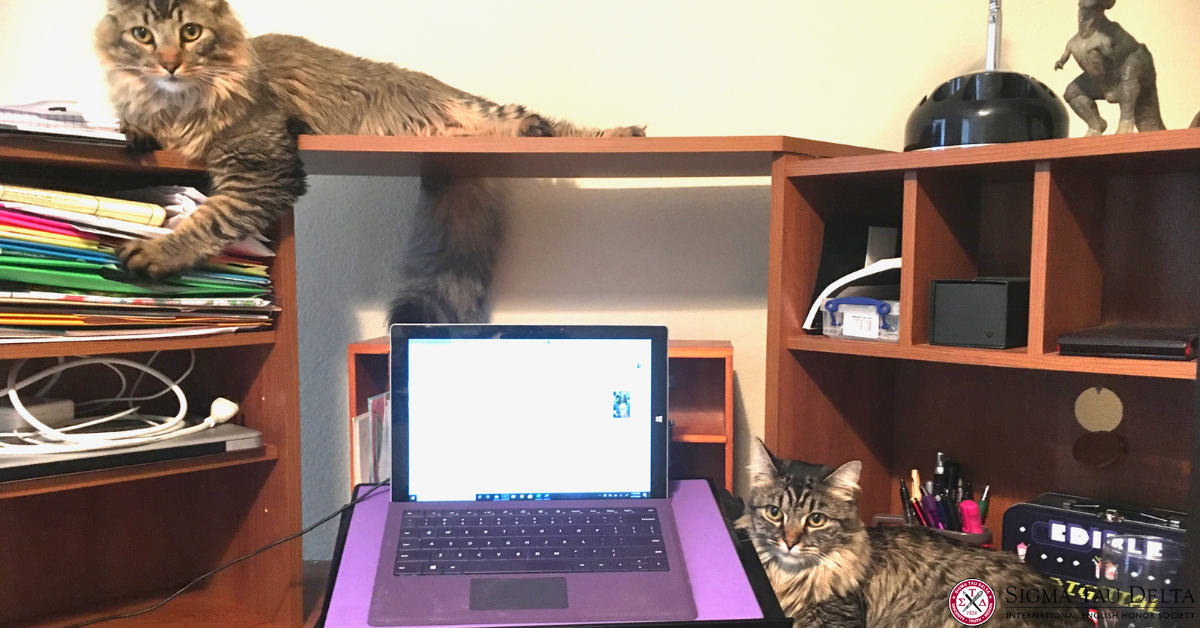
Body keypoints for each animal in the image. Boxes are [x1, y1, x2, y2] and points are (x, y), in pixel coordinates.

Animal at [94, 0, 643, 323]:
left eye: (190, 32)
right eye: (142, 34)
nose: (168, 62)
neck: (178, 104)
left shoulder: (263, 168)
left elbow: (209, 219)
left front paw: (157, 252)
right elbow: (135, 125)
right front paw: (134, 131)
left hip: (484, 112)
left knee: (546, 122)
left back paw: (617, 133)